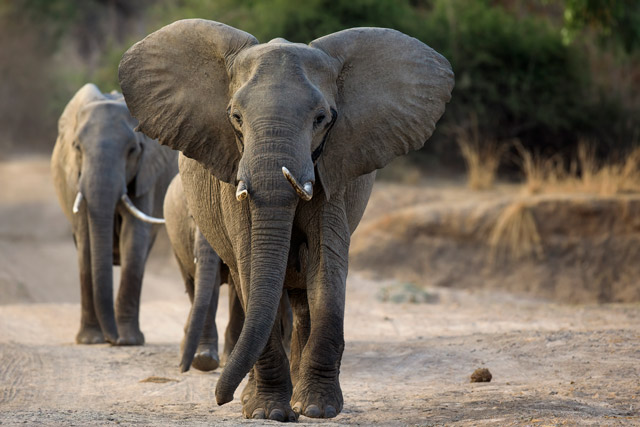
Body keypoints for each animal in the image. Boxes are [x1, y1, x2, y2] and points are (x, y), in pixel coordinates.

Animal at [51, 83, 178, 346]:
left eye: (132, 151)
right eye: (77, 148)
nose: (113, 340)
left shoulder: (146, 173)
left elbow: (134, 237)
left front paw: (129, 341)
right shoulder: (75, 179)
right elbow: (87, 242)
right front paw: (90, 341)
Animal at [164, 174, 293, 372]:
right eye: (192, 218)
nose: (182, 369)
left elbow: (233, 286)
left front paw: (224, 359)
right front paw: (204, 361)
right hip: (176, 246)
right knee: (190, 285)